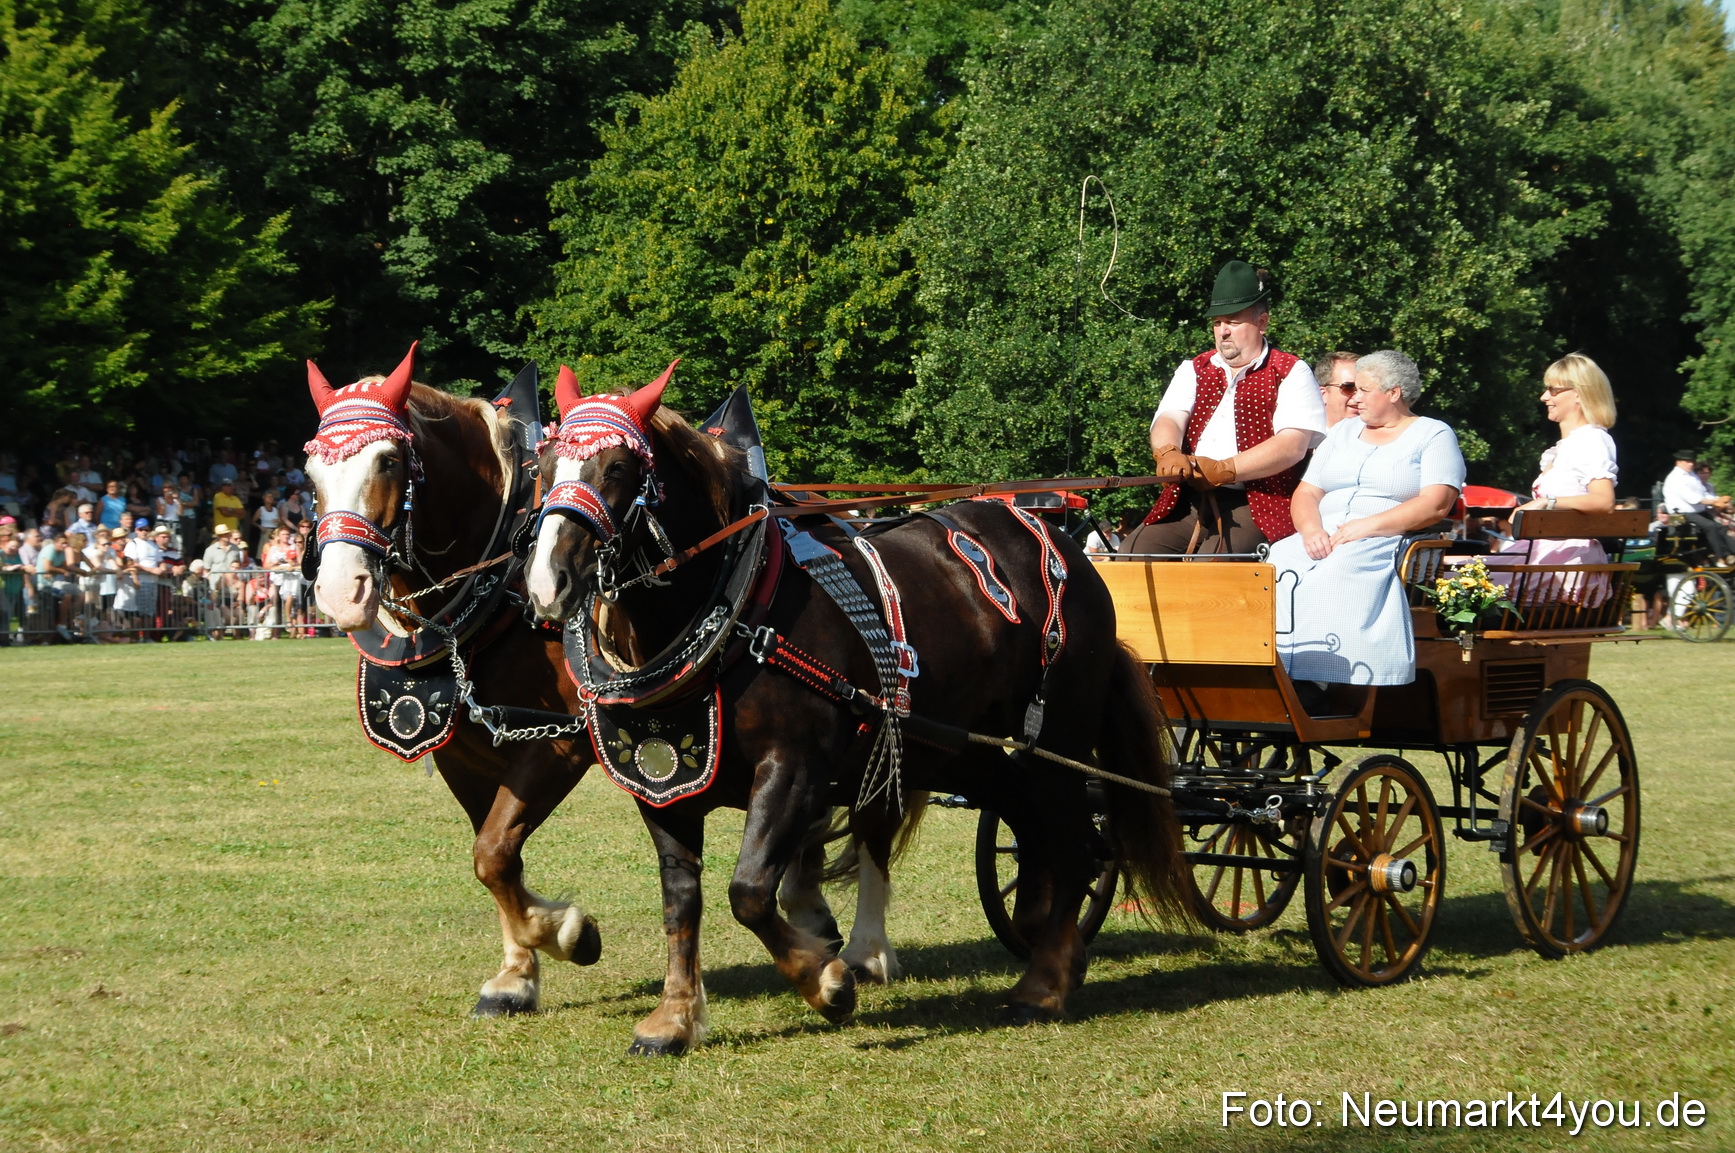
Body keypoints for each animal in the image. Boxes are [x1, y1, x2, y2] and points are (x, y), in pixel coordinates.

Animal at [522, 364, 1188, 1054]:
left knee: (1075, 840)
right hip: (956, 749)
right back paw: (1044, 938)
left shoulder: (794, 770)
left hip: (1059, 733)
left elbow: (749, 892)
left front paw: (827, 981)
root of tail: (1065, 546)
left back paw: (1046, 981)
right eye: (542, 463)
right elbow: (681, 901)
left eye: (618, 467)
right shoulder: (662, 785)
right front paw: (675, 1017)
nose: (547, 583)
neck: (736, 611)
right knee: (1034, 821)